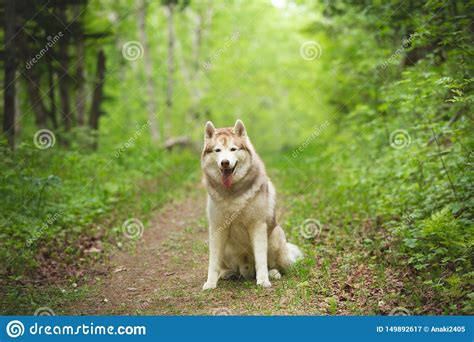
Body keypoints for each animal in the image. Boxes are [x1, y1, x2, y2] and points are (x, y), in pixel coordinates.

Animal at [202, 120, 302, 288]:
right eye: (217, 150)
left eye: (233, 149)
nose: (225, 162)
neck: (232, 193)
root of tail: (246, 270)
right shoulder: (217, 227)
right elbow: (213, 261)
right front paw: (210, 283)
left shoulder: (257, 225)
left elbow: (261, 258)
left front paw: (263, 281)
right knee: (226, 266)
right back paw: (227, 273)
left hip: (275, 236)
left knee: (274, 265)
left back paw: (273, 273)